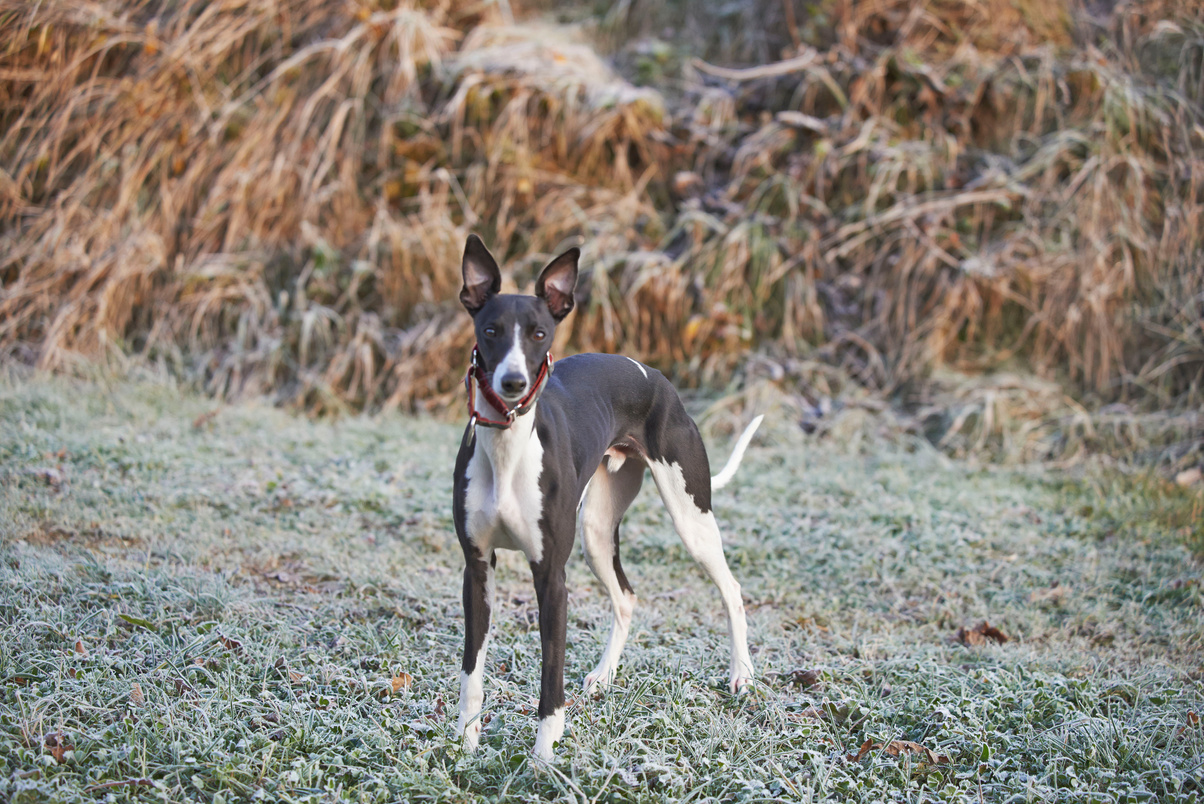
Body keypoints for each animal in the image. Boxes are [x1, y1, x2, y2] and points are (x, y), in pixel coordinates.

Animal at [452, 233, 760, 760]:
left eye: (539, 334)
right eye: (491, 330)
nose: (512, 383)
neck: (509, 449)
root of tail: (656, 376)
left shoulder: (551, 578)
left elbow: (550, 676)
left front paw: (542, 757)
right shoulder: (477, 569)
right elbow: (473, 669)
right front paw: (466, 747)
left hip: (691, 517)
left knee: (731, 589)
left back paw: (741, 672)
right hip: (596, 532)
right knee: (626, 597)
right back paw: (604, 674)